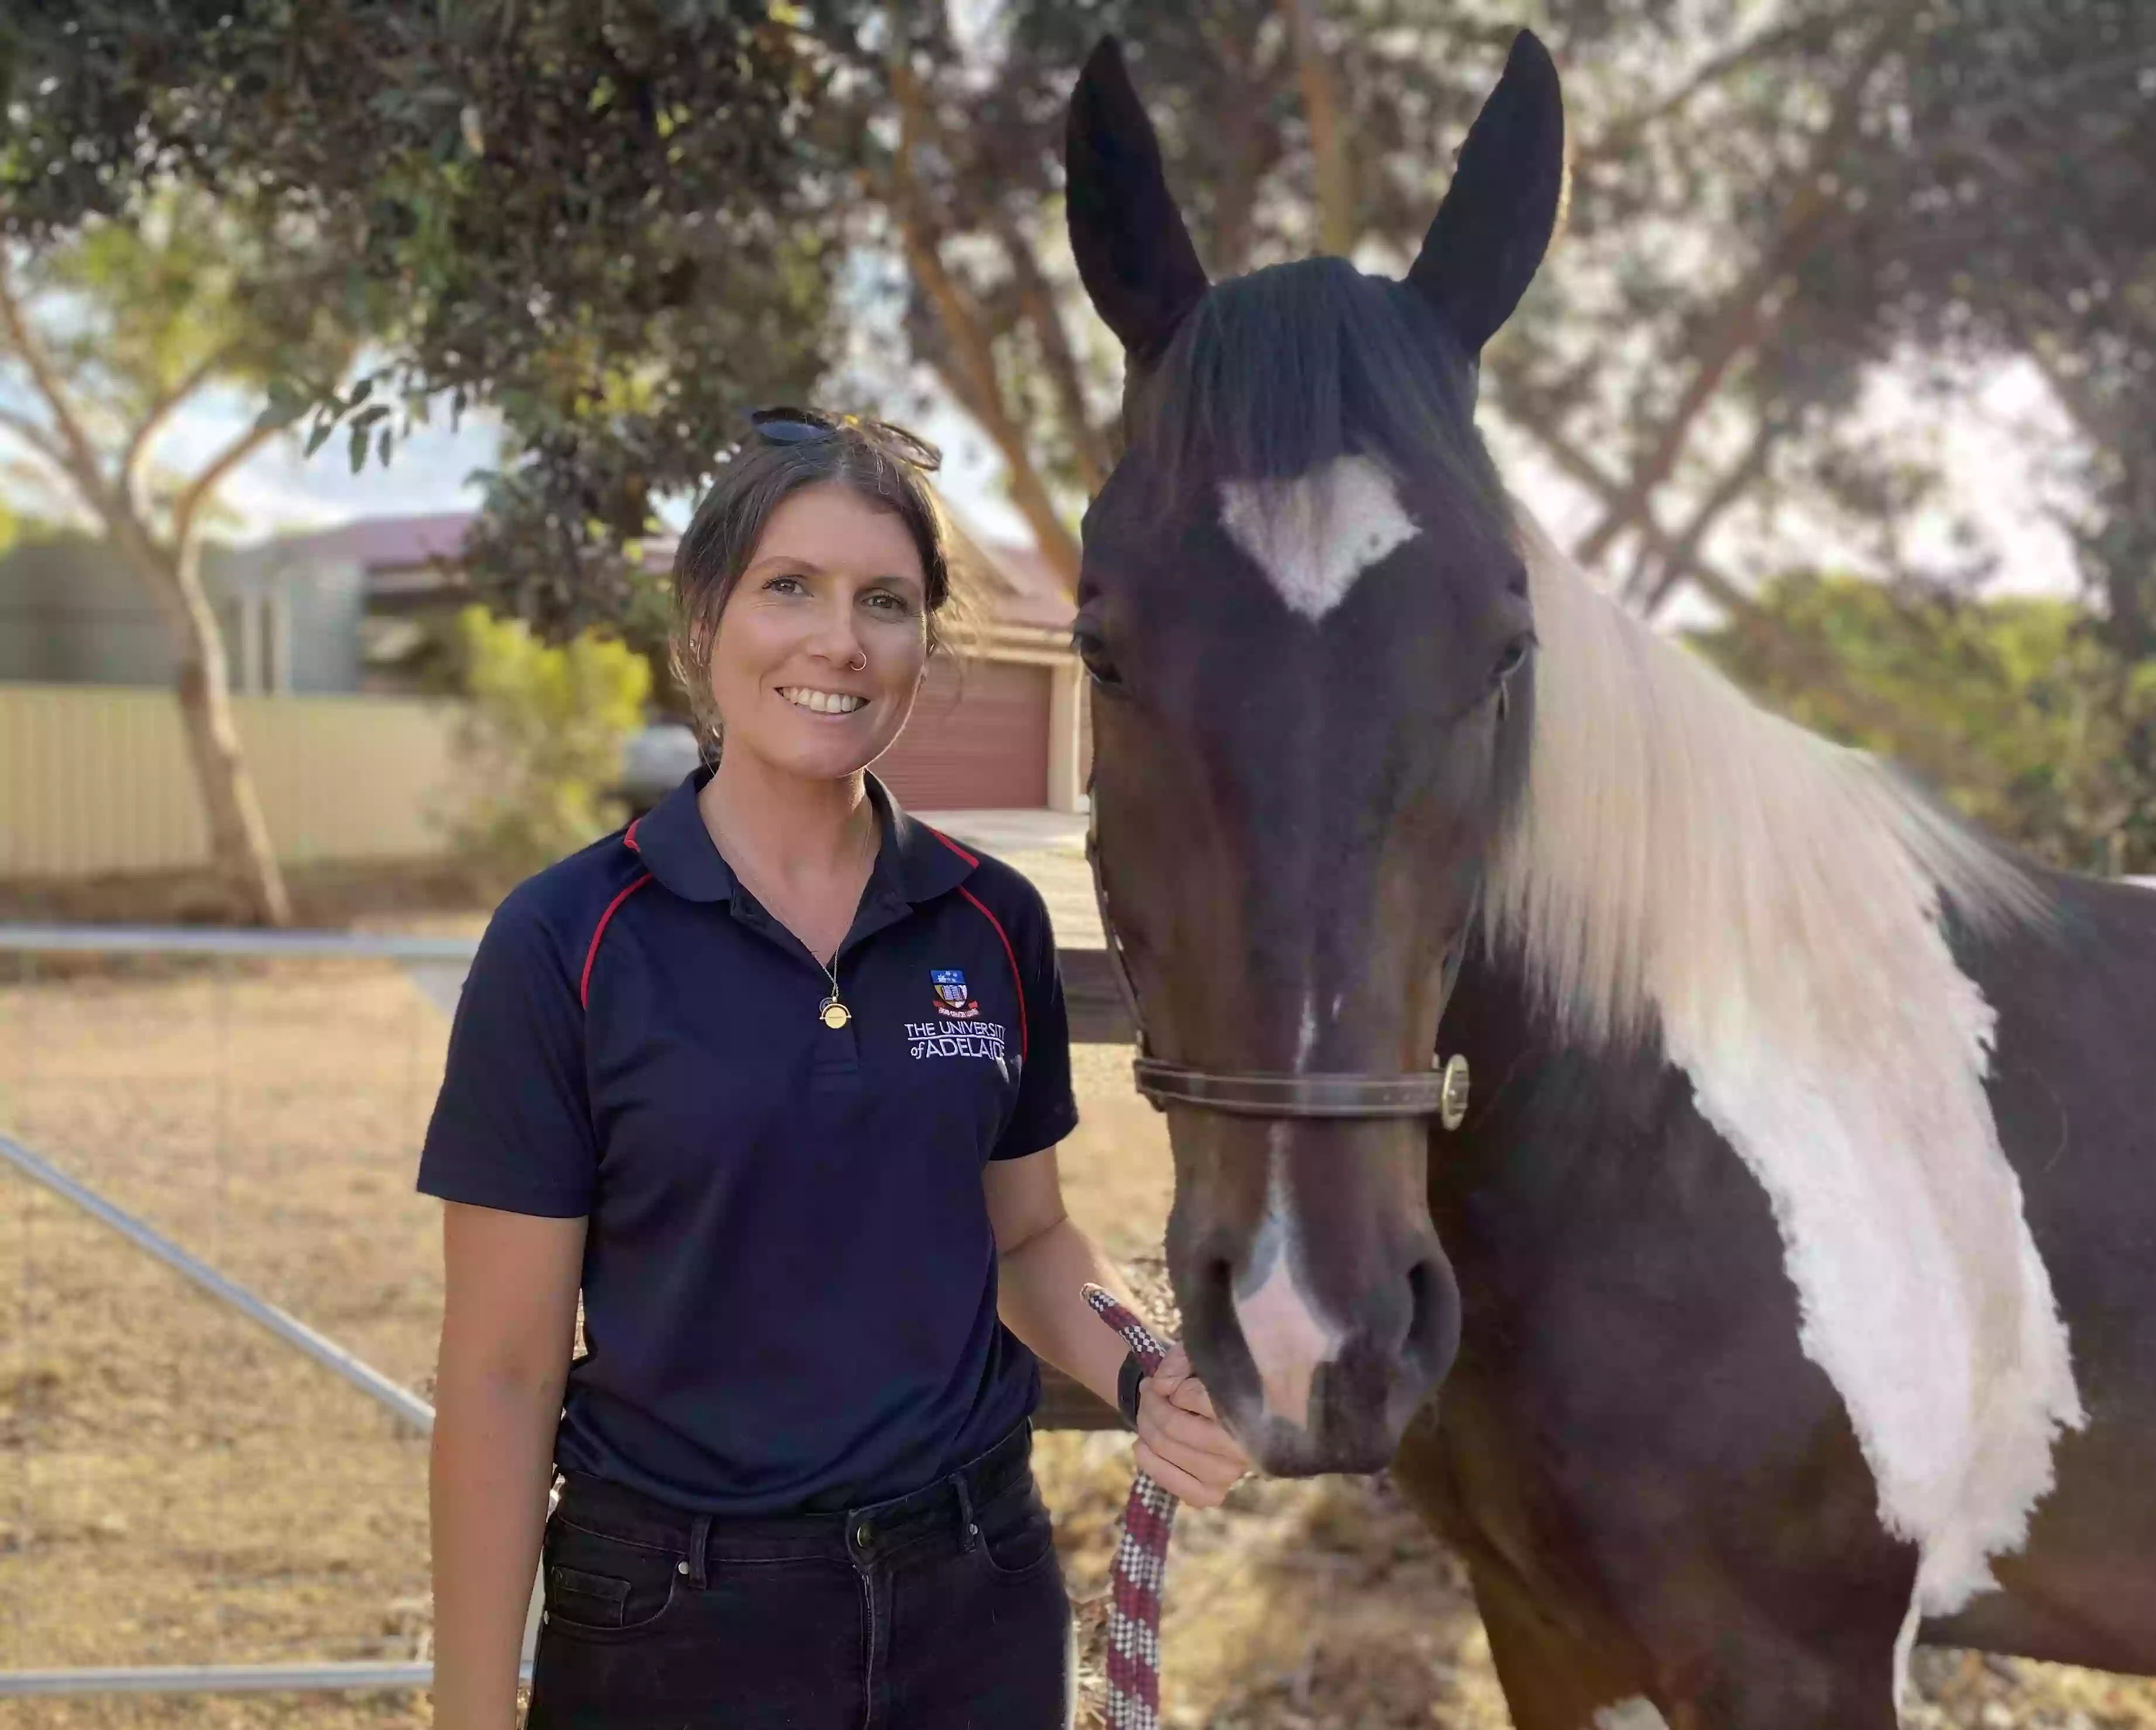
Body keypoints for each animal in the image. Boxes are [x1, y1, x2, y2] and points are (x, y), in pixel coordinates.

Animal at [1060, 30, 2156, 1725]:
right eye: (1100, 645)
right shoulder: (1548, 1632)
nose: (1308, 1333)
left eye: (1504, 645)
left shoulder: (1797, 1667)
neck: (1657, 1143)